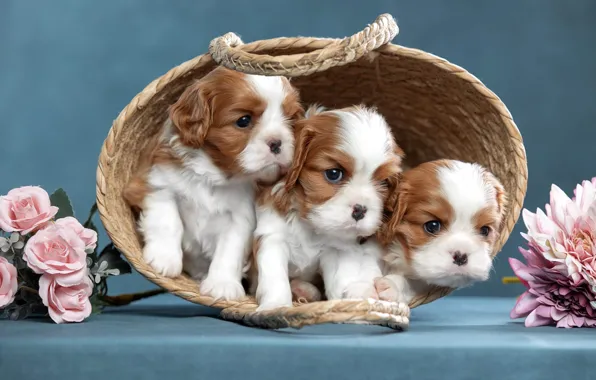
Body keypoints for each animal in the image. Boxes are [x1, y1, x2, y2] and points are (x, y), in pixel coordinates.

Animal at [124, 67, 302, 302]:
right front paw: (163, 258)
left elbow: (230, 248)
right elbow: (168, 222)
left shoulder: (241, 218)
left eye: (291, 121)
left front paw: (222, 284)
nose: (277, 142)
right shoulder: (158, 183)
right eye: (243, 121)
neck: (215, 174)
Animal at [251, 105, 406, 310]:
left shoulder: (336, 249)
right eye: (333, 174)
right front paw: (276, 306)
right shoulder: (272, 237)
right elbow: (275, 278)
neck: (310, 223)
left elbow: (340, 277)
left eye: (384, 183)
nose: (360, 209)